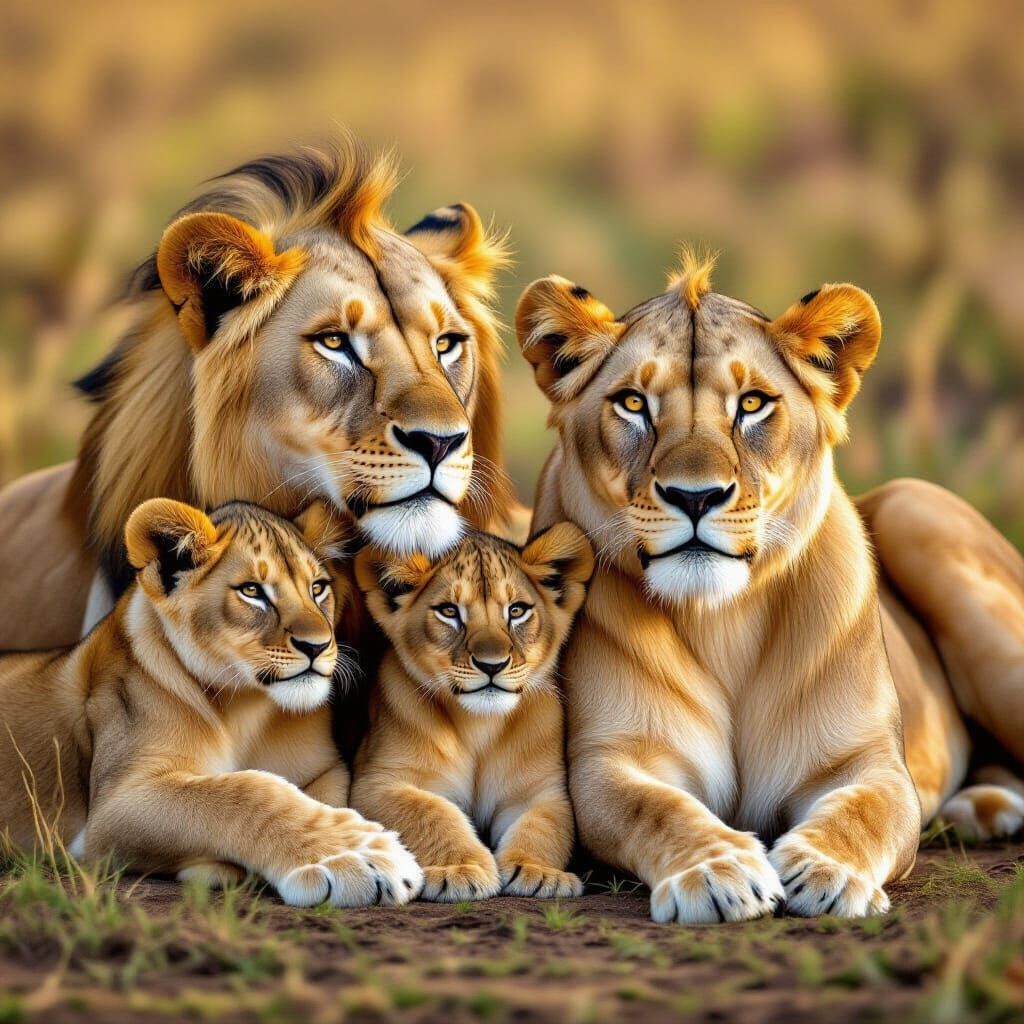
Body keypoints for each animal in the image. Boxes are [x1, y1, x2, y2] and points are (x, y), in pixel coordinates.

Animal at [0, 497, 423, 906]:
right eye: (252, 591)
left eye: (317, 588)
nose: (317, 646)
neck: (243, 708)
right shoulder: (112, 808)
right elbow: (245, 791)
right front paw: (354, 856)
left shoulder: (326, 769)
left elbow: (317, 800)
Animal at [349, 524, 594, 902]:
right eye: (449, 612)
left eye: (517, 611)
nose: (491, 665)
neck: (479, 725)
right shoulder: (376, 782)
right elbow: (432, 812)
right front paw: (461, 870)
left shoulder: (540, 791)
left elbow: (543, 826)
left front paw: (540, 873)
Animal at [514, 254, 1024, 922]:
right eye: (632, 403)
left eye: (752, 404)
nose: (696, 496)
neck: (721, 619)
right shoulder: (609, 759)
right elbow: (656, 808)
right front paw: (717, 870)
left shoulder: (869, 760)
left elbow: (865, 811)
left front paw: (827, 871)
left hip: (918, 511)